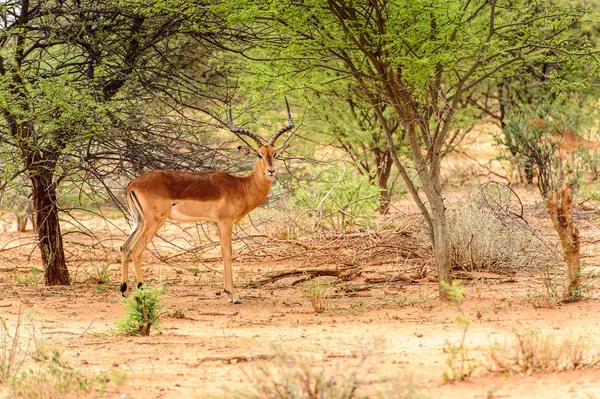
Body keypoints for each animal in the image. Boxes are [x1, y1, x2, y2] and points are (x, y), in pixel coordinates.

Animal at [118, 101, 294, 304]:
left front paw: (227, 293)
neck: (241, 186)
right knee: (136, 250)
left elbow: (222, 253)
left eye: (275, 154)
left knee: (125, 247)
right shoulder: (226, 222)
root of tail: (132, 183)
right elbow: (228, 253)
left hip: (139, 221)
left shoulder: (218, 223)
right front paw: (234, 295)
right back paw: (141, 291)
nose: (271, 171)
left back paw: (125, 291)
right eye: (259, 154)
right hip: (154, 222)